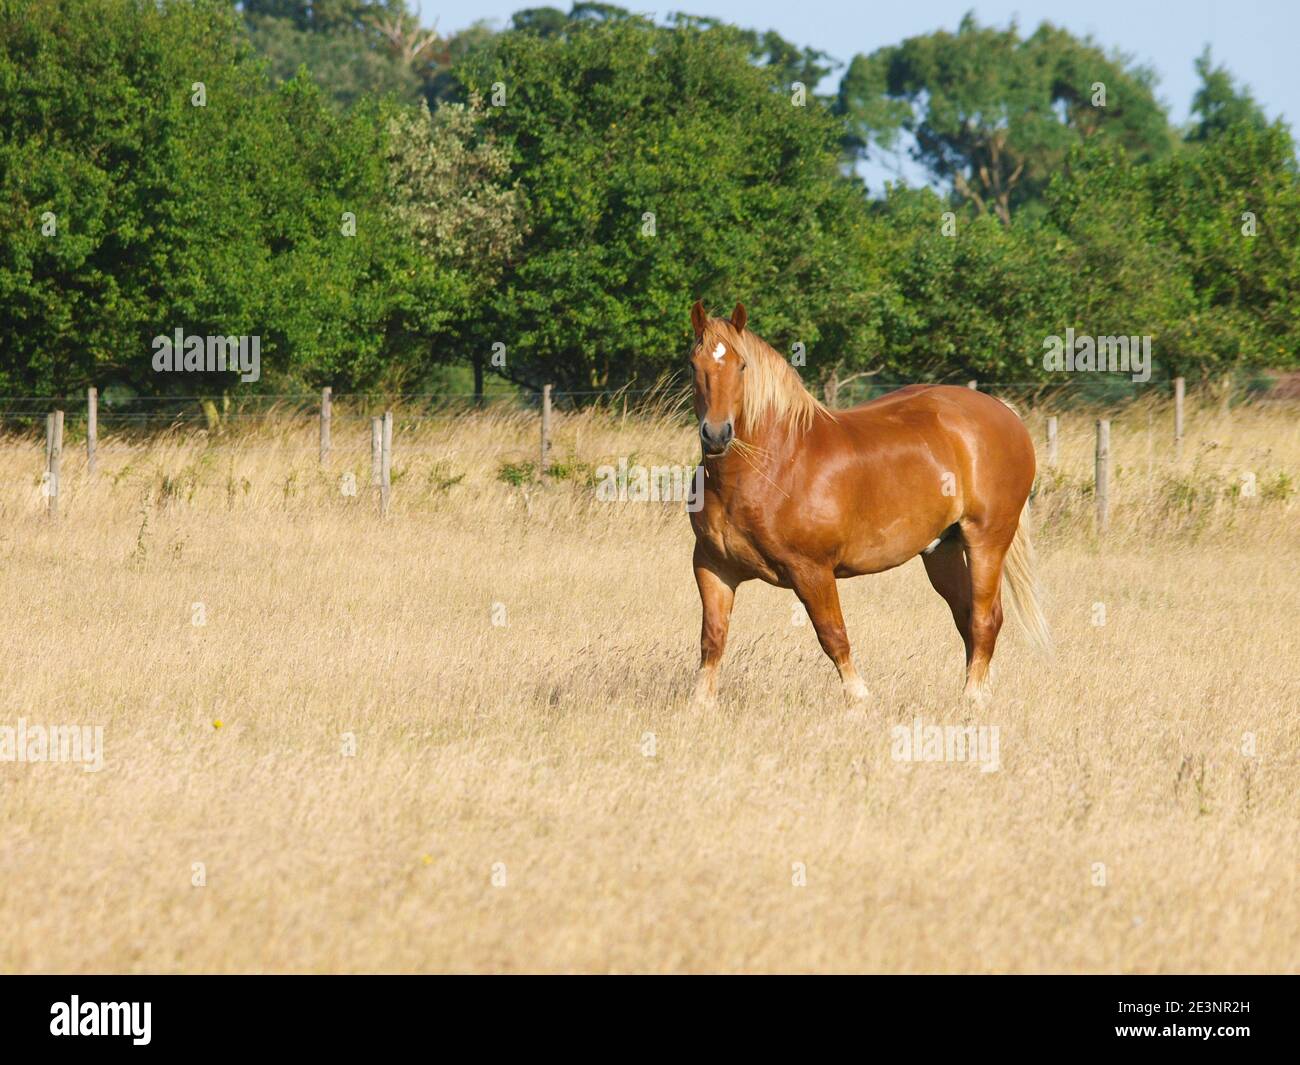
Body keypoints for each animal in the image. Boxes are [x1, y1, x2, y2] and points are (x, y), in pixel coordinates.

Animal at [687, 300, 1050, 708]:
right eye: (694, 364)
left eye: (742, 366)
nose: (717, 435)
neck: (774, 462)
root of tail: (1003, 412)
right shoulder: (713, 567)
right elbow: (713, 638)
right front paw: (700, 704)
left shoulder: (811, 570)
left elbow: (832, 634)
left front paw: (859, 699)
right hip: (942, 550)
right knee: (966, 616)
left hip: (987, 540)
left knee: (985, 618)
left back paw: (972, 697)